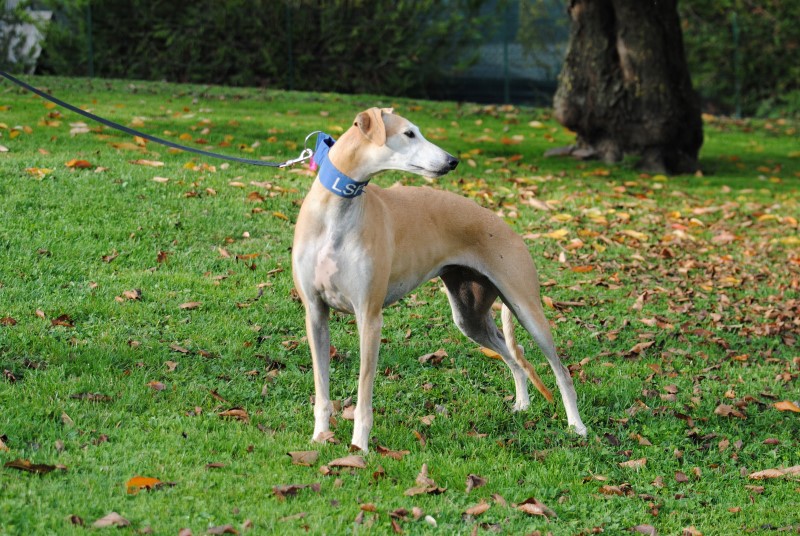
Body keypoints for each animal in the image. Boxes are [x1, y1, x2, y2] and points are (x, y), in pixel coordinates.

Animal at [292, 108, 587, 452]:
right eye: (409, 133)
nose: (452, 161)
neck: (336, 212)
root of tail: (504, 225)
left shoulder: (369, 316)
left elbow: (364, 395)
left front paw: (360, 448)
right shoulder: (315, 313)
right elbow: (322, 387)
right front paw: (320, 437)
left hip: (526, 308)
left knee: (561, 371)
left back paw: (577, 426)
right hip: (469, 317)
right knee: (515, 357)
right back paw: (523, 405)